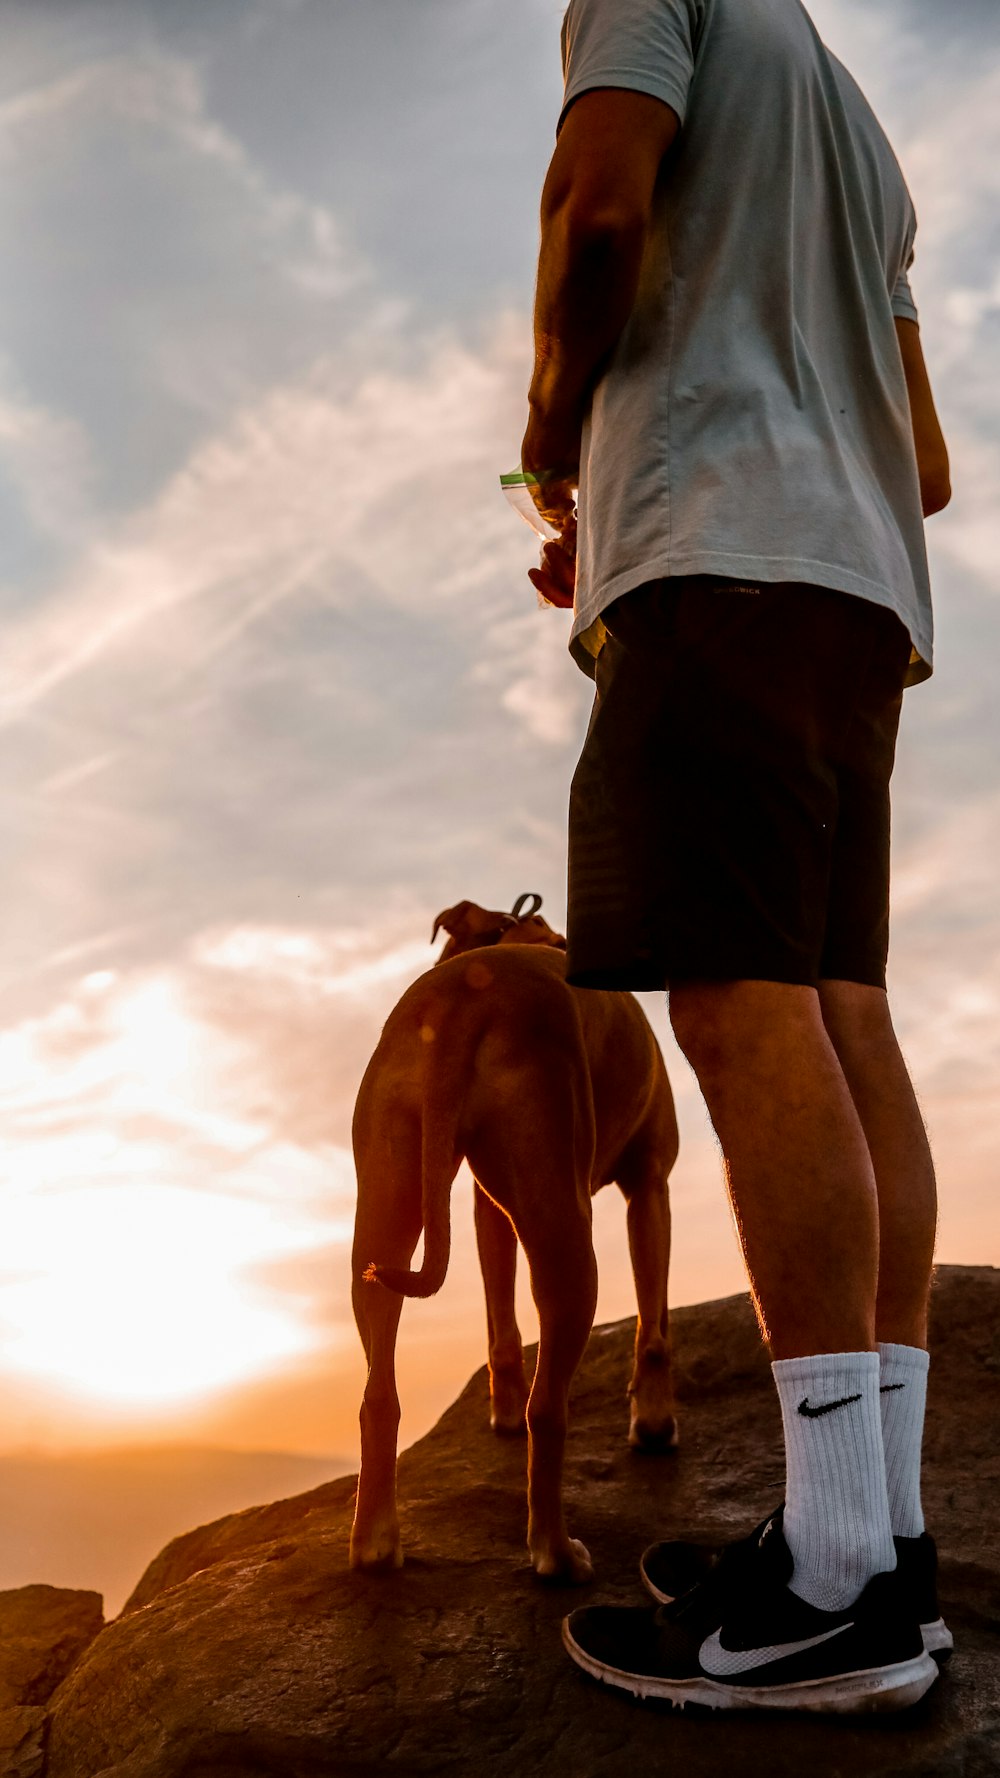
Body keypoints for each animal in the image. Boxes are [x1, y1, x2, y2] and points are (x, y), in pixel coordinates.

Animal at [348, 896, 676, 1578]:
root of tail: (463, 1002)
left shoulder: (485, 1208)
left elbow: (500, 1323)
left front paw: (498, 1410)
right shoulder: (651, 1185)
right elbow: (652, 1327)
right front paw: (656, 1425)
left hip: (385, 1207)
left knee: (377, 1391)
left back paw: (375, 1543)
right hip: (566, 1232)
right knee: (548, 1409)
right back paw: (557, 1552)